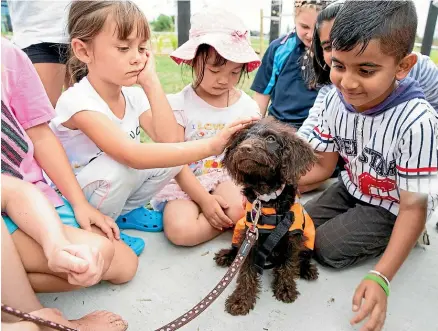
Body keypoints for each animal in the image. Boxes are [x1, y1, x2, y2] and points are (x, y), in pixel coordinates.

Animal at [215, 116, 318, 316]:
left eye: (271, 138)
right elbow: (245, 270)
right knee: (237, 248)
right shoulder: (250, 235)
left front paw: (285, 288)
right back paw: (227, 255)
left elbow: (288, 265)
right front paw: (241, 299)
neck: (267, 199)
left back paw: (307, 269)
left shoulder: (293, 238)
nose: (245, 148)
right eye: (243, 138)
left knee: (303, 257)